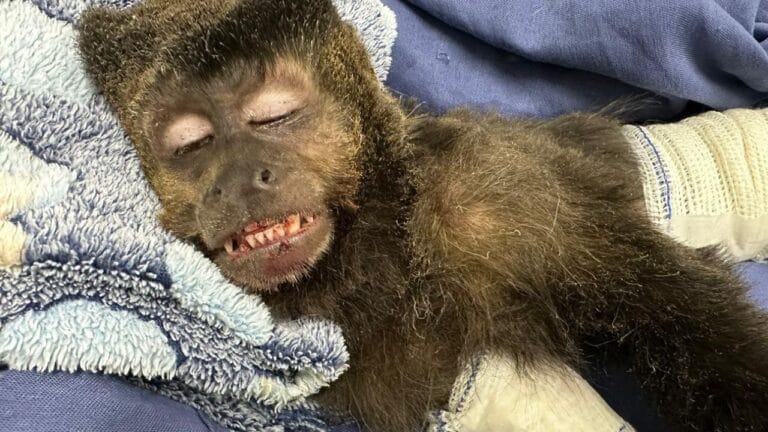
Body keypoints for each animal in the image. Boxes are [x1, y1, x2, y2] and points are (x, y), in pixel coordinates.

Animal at [77, 0, 768, 430]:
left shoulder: (499, 193)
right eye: (191, 145)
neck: (381, 254)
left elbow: (675, 303)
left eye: (273, 115)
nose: (241, 180)